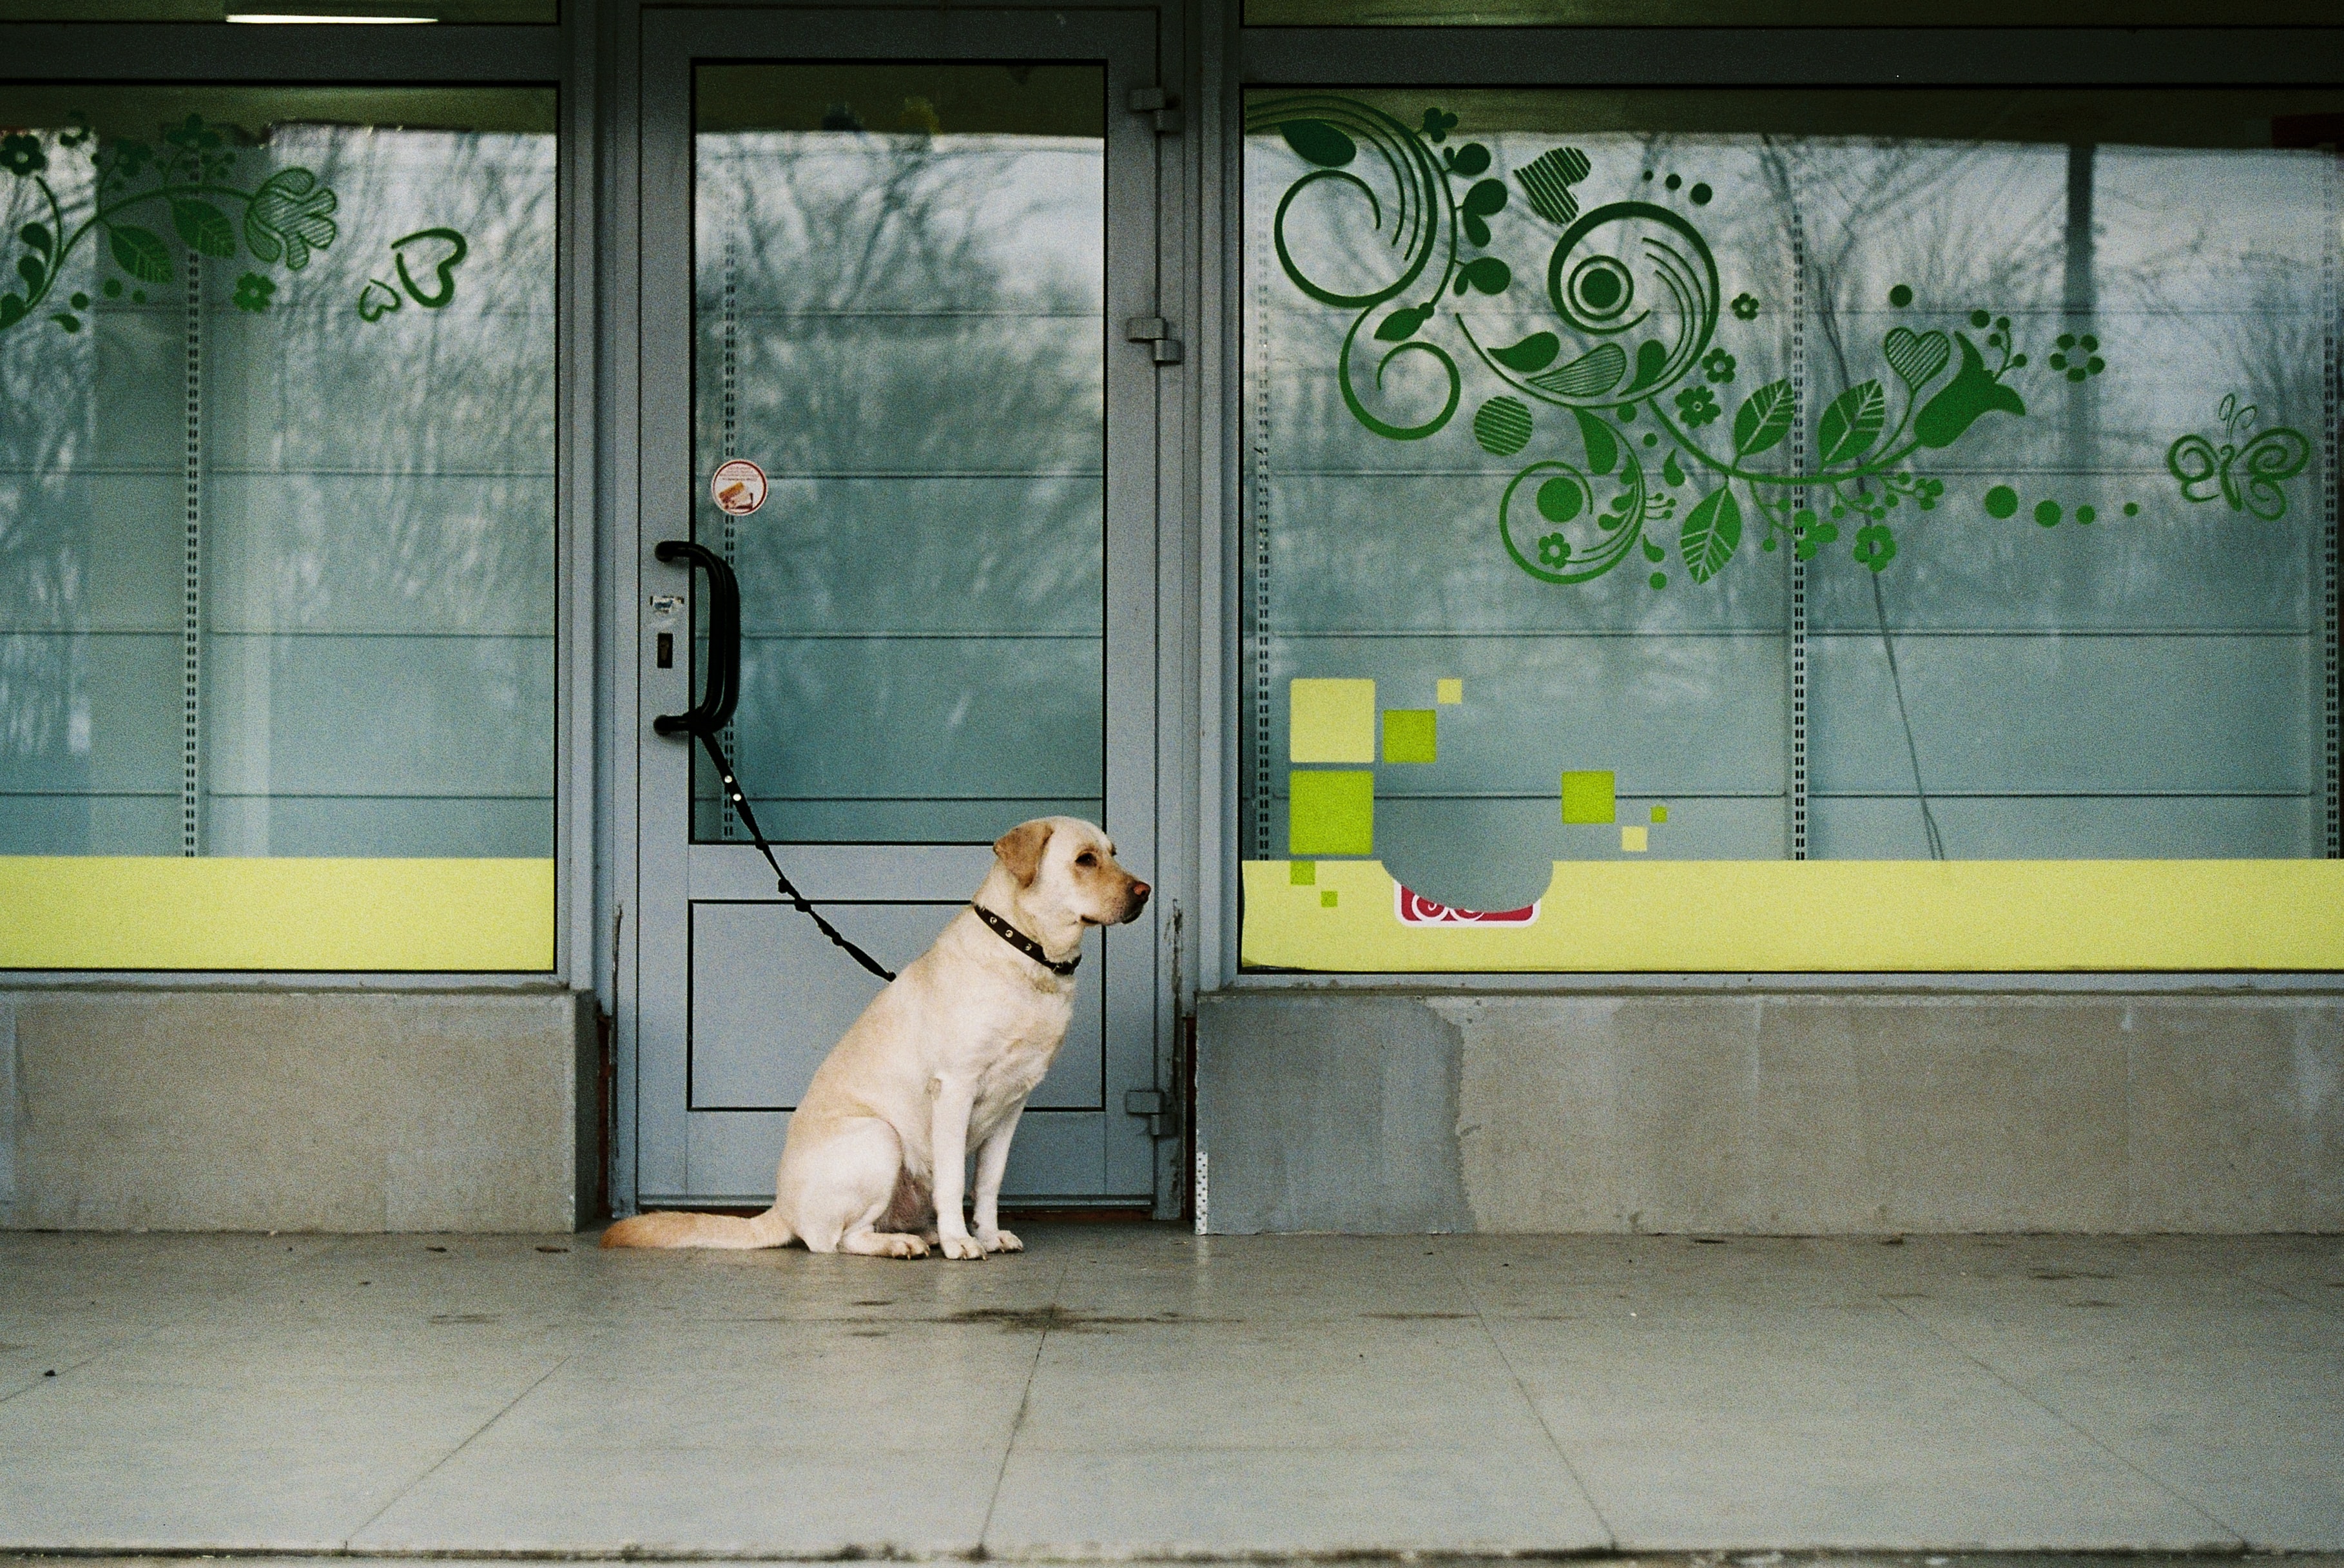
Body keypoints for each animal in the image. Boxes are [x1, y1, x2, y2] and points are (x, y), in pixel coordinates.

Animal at [609, 820, 1148, 1256]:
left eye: (1114, 851)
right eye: (1085, 859)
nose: (1145, 891)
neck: (1027, 954)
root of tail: (781, 1207)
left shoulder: (1013, 1105)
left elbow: (988, 1182)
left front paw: (988, 1234)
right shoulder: (954, 1088)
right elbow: (954, 1180)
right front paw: (961, 1242)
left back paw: (925, 1235)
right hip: (880, 1138)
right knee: (834, 1240)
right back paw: (905, 1243)